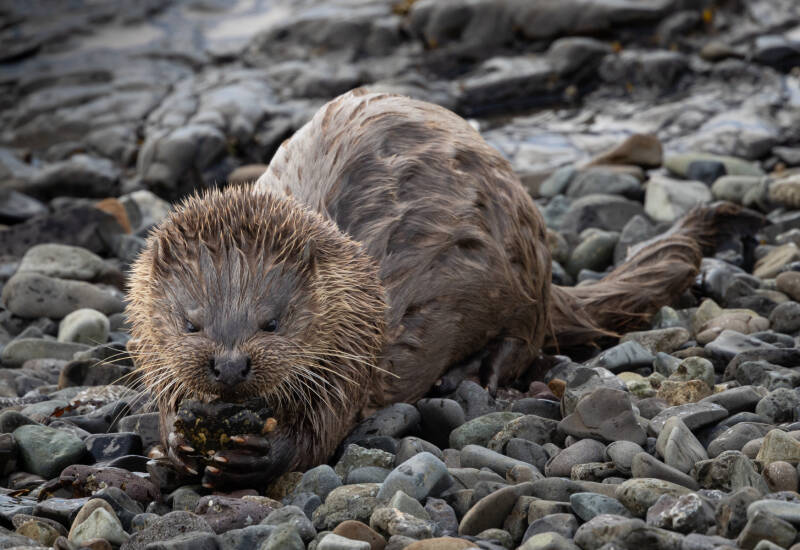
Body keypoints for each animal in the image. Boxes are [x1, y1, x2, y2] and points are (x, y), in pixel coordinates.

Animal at [127, 89, 745, 488]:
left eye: (272, 320)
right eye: (190, 322)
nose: (230, 366)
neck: (359, 295)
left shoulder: (352, 352)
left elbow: (321, 431)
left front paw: (255, 455)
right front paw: (175, 444)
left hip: (520, 268)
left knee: (523, 339)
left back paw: (475, 374)